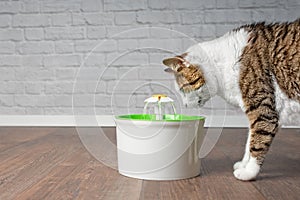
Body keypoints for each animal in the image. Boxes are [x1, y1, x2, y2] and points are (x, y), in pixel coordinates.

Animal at [163, 19, 298, 181]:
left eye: (182, 90)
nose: (185, 105)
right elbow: (249, 141)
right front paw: (243, 164)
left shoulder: (263, 111)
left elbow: (258, 141)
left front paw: (249, 172)